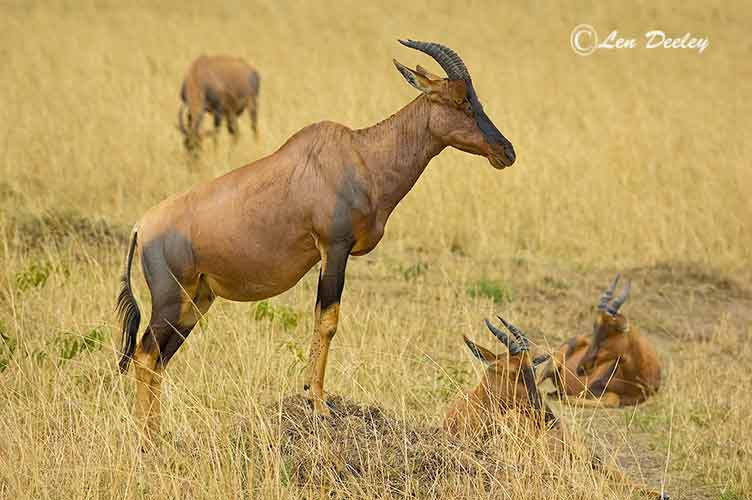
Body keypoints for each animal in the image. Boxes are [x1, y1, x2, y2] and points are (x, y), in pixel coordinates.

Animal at [116, 38, 516, 438]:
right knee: (145, 354)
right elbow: (327, 321)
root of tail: (142, 226)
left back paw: (154, 435)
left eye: (475, 98)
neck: (360, 156)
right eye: (460, 101)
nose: (506, 152)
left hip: (196, 300)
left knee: (157, 359)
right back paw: (145, 438)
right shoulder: (334, 248)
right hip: (171, 299)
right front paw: (319, 403)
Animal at [536, 276, 660, 408]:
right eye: (595, 328)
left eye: (608, 332)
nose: (580, 368)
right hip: (553, 363)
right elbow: (612, 399)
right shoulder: (592, 388)